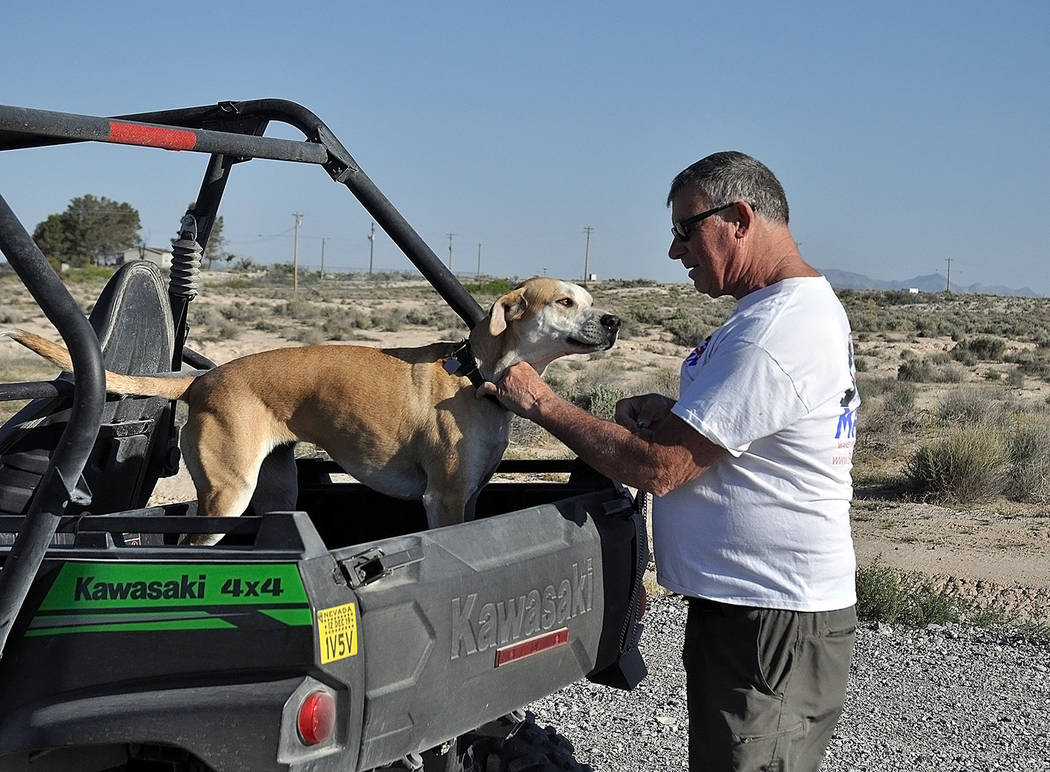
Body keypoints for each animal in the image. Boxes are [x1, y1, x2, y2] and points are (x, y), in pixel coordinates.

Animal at [6, 277, 613, 541]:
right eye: (565, 301)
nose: (614, 321)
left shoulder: (470, 494)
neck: (477, 375)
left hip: (276, 489)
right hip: (228, 495)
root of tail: (201, 381)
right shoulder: (442, 499)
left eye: (589, 298)